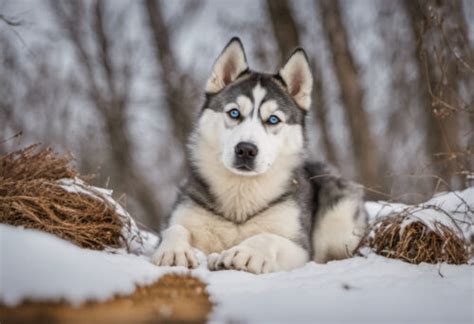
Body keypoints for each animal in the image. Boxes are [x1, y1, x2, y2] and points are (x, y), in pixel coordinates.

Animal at [152, 37, 366, 274]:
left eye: (273, 119)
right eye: (234, 113)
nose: (246, 150)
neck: (240, 196)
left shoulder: (299, 247)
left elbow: (268, 237)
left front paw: (245, 252)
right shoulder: (184, 214)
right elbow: (174, 229)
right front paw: (174, 250)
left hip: (338, 220)